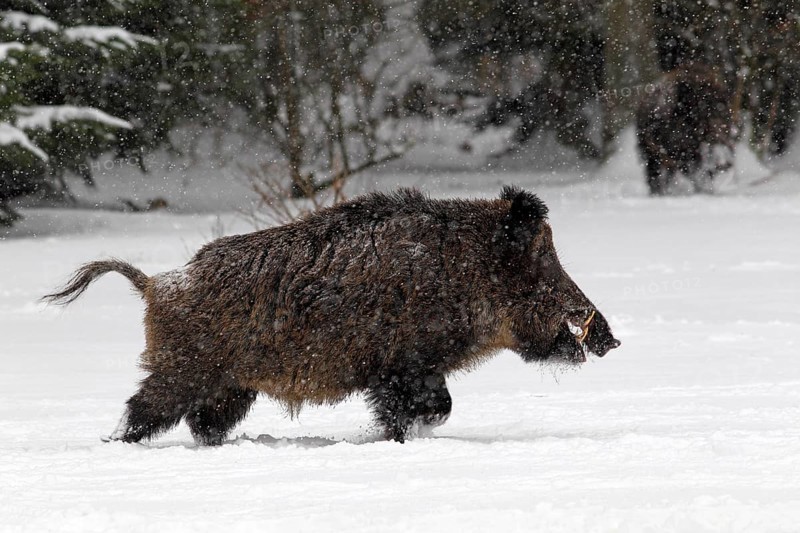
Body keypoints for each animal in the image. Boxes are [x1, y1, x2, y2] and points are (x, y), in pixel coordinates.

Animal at [44, 187, 620, 444]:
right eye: (543, 264)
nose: (610, 339)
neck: (462, 270)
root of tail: (156, 284)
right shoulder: (402, 366)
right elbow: (430, 407)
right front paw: (397, 438)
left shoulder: (416, 367)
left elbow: (439, 406)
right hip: (183, 369)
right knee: (143, 410)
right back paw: (116, 444)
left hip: (230, 386)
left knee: (202, 422)